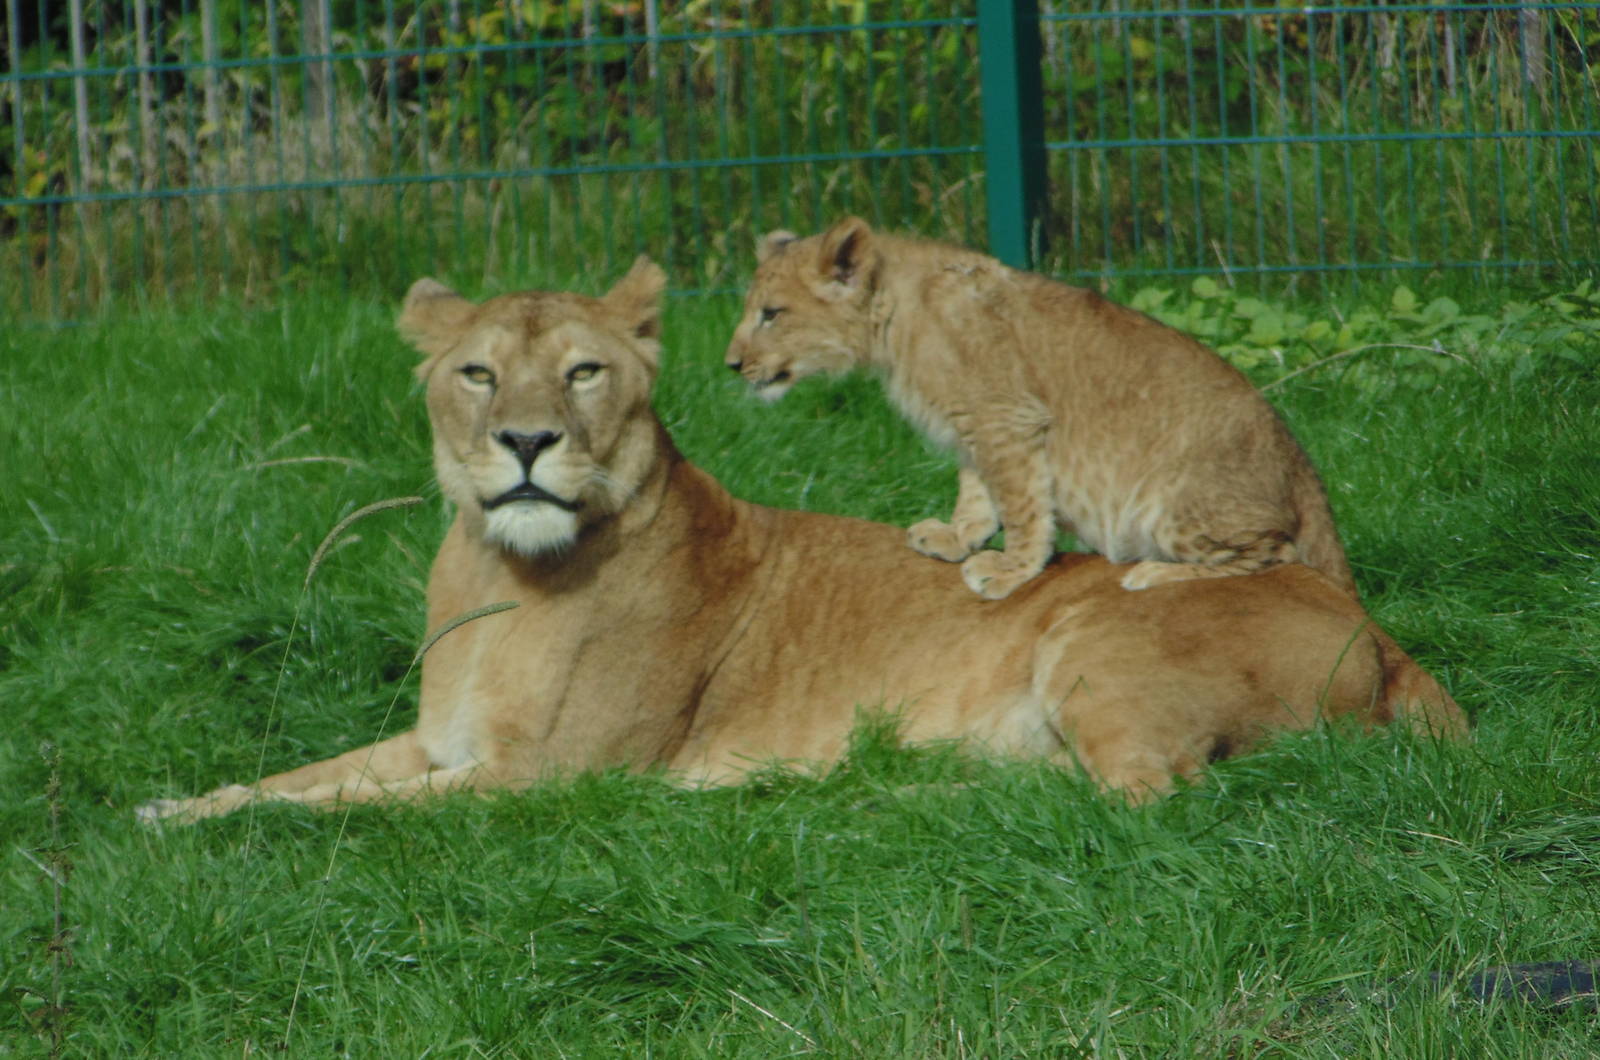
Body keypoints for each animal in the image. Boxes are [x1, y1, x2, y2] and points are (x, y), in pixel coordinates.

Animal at [137, 260, 1464, 824]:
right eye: (477, 373)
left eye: (582, 371)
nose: (523, 440)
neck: (500, 568)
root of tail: (1373, 623)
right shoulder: (434, 742)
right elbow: (301, 778)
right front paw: (170, 809)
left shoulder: (548, 780)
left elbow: (338, 813)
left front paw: (214, 832)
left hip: (1095, 644)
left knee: (1151, 799)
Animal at [724, 217, 1355, 601]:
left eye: (772, 314)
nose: (730, 365)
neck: (891, 321)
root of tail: (1302, 468)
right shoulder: (975, 426)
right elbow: (978, 491)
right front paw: (958, 537)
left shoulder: (1007, 419)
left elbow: (1023, 504)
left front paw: (1011, 569)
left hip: (1175, 504)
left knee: (1280, 553)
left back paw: (1156, 571)